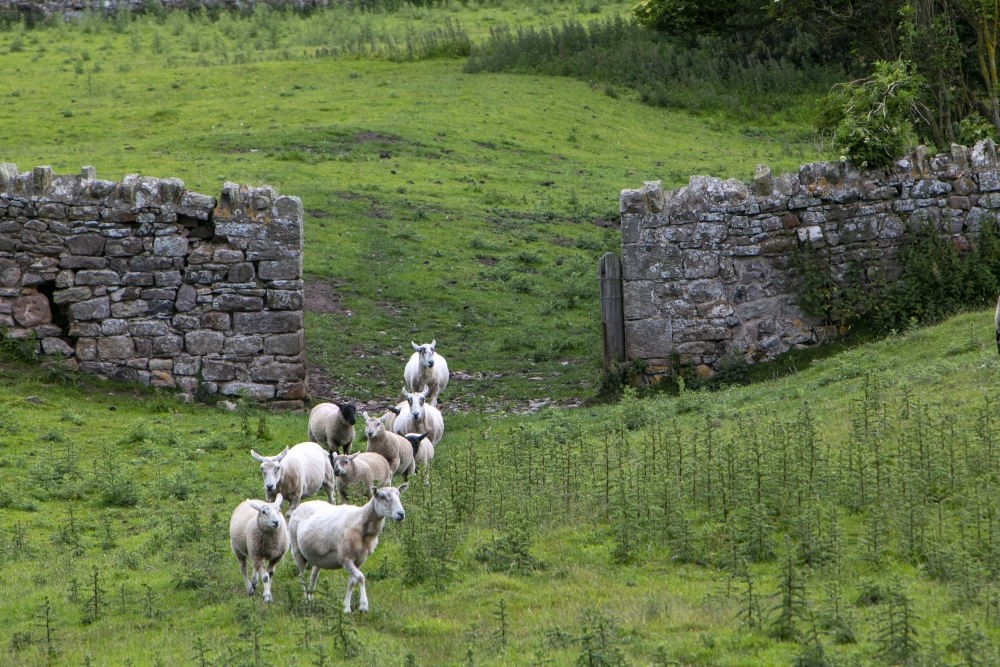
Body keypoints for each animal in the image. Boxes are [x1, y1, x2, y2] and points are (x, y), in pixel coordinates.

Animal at [292, 482, 408, 612]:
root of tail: (304, 504)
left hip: (317, 556)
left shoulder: (359, 560)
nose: (401, 514)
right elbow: (361, 577)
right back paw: (305, 600)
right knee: (302, 576)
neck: (360, 521)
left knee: (313, 575)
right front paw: (363, 606)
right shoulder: (344, 558)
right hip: (296, 549)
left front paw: (346, 607)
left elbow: (351, 582)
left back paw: (310, 598)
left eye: (399, 495)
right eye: (382, 497)